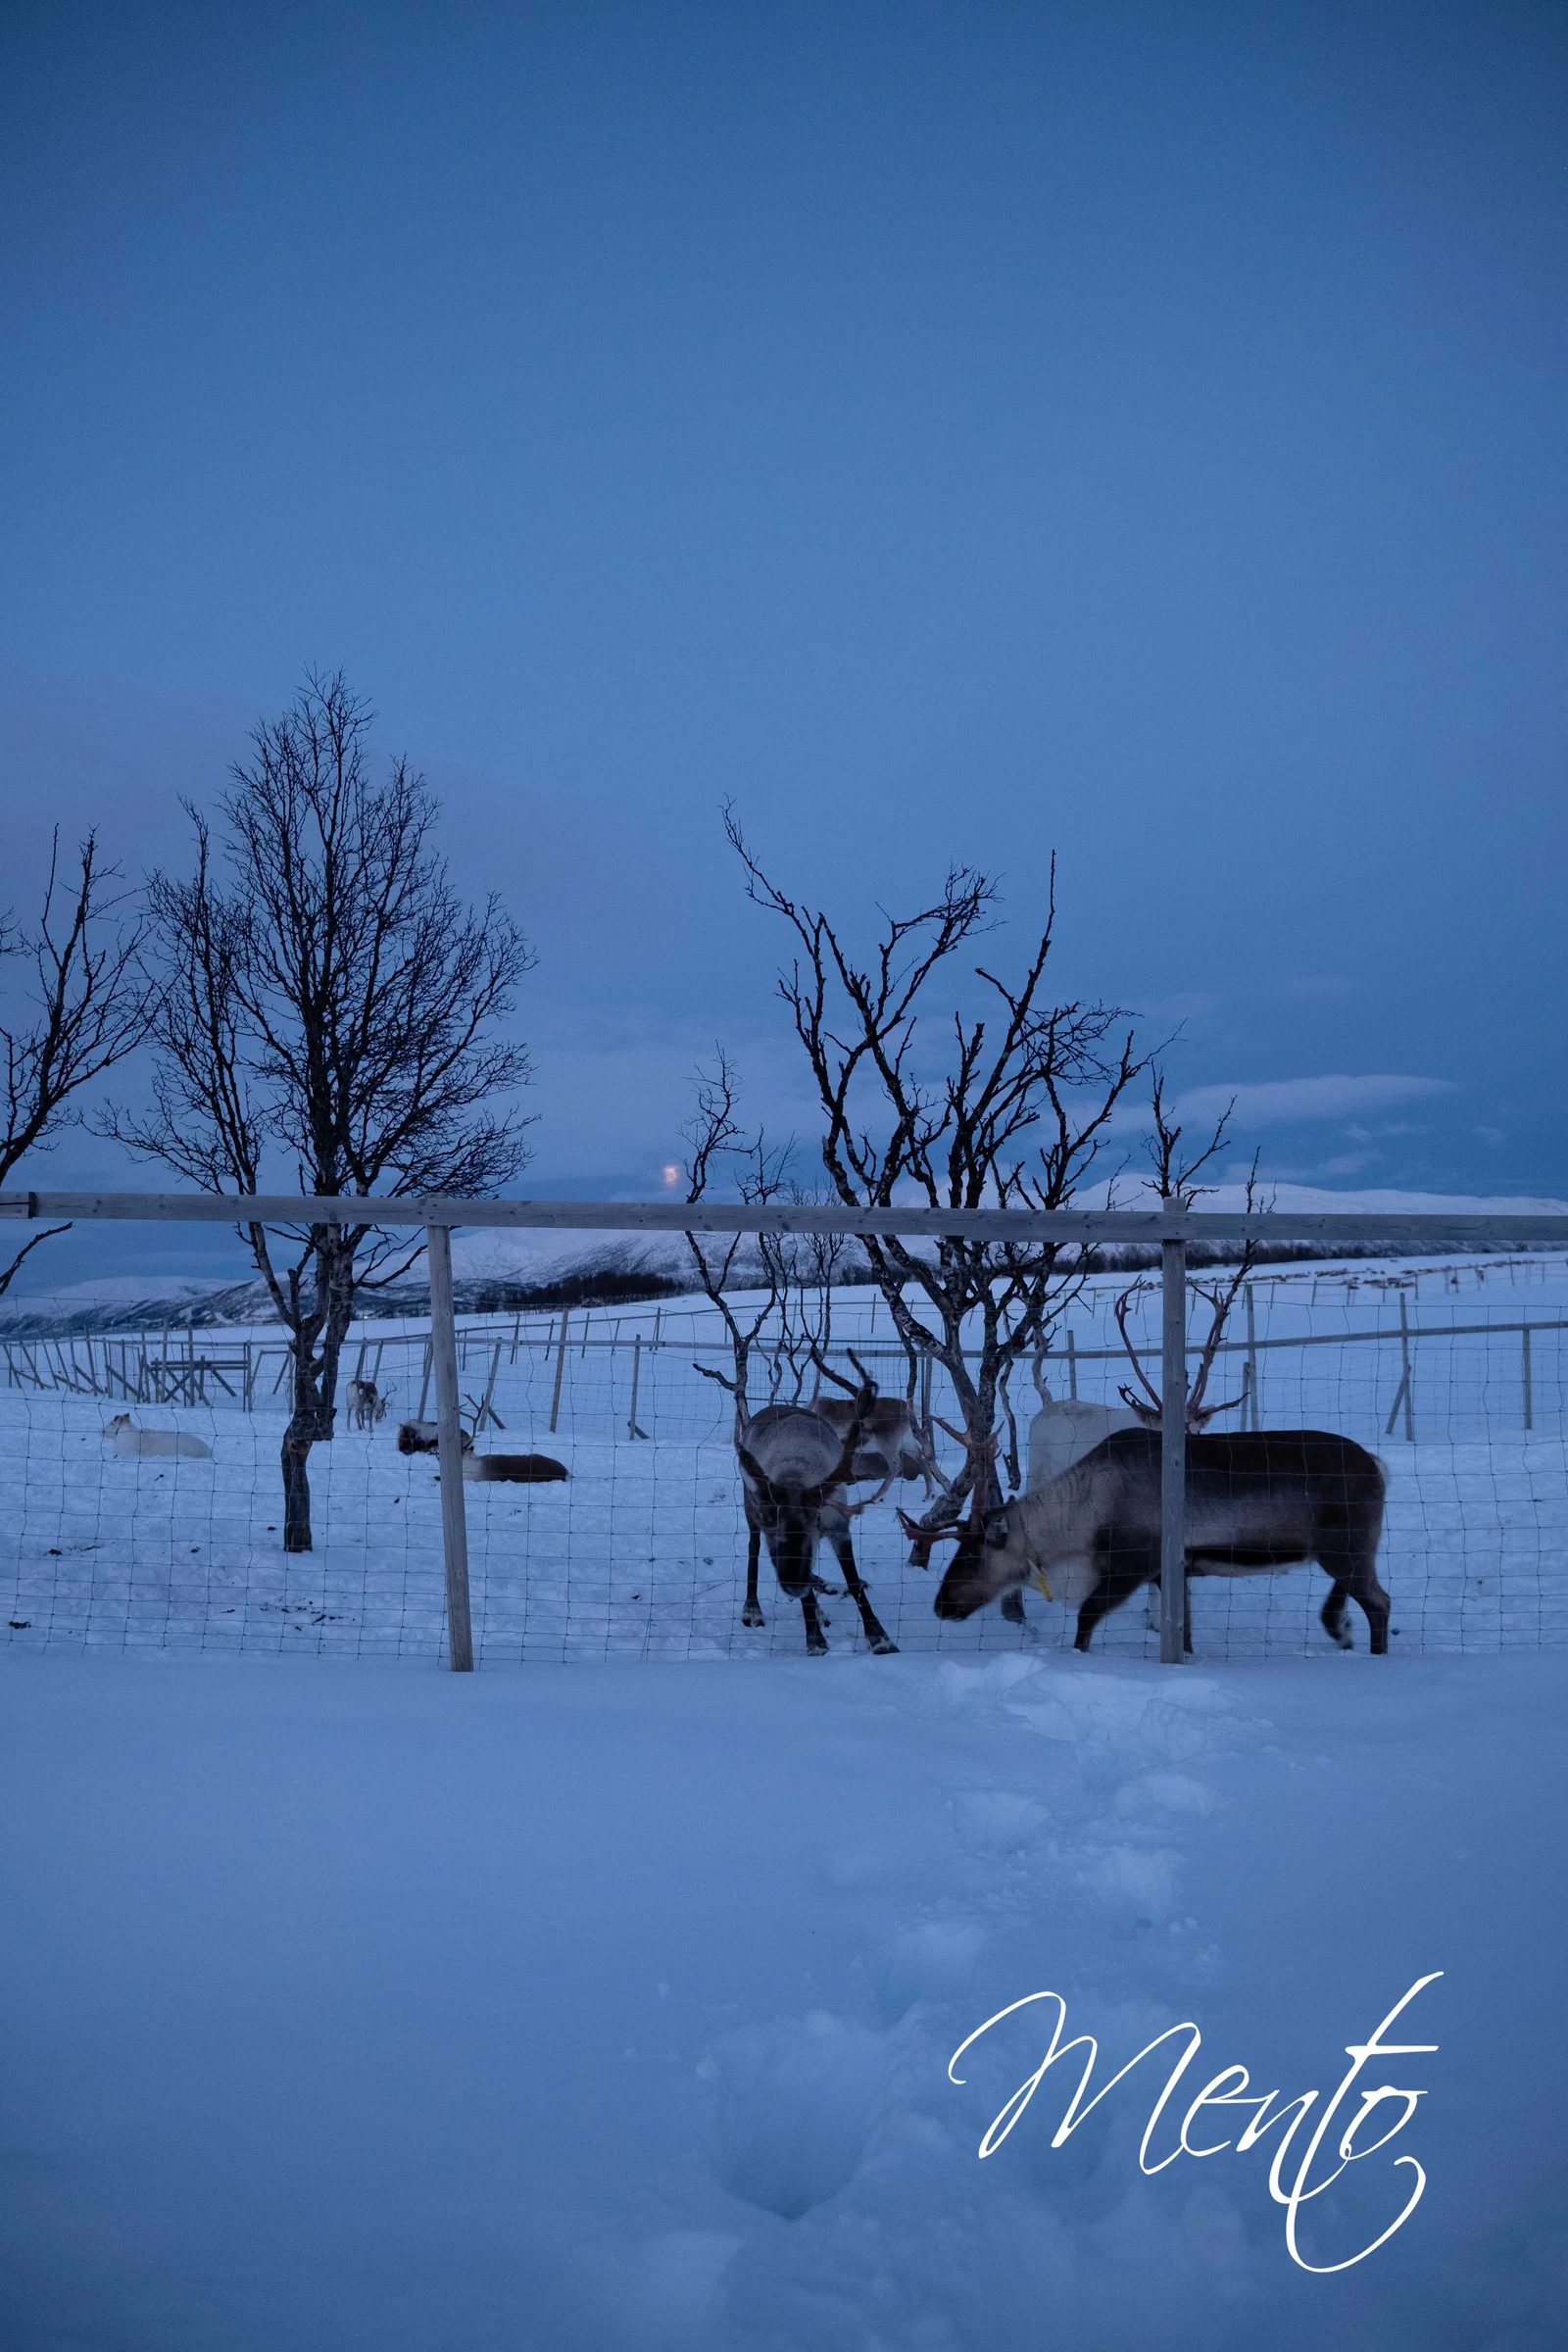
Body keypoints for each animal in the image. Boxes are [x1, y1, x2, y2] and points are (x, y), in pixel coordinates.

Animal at [735, 1370, 899, 1656]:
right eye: (774, 1539)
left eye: (809, 1532)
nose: (792, 1584)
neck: (795, 1476)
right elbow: (808, 1596)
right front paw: (816, 1642)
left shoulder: (838, 1526)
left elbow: (854, 1581)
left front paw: (880, 1638)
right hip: (750, 1505)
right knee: (752, 1548)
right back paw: (753, 1609)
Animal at [922, 1425, 1390, 1656]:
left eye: (971, 1556)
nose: (940, 1605)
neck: (1081, 1516)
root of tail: (1377, 1465)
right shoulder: (1172, 1571)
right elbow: (1182, 1632)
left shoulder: (1132, 1564)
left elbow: (1086, 1617)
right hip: (1342, 1549)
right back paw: (1341, 1631)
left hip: (1344, 1546)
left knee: (1379, 1601)